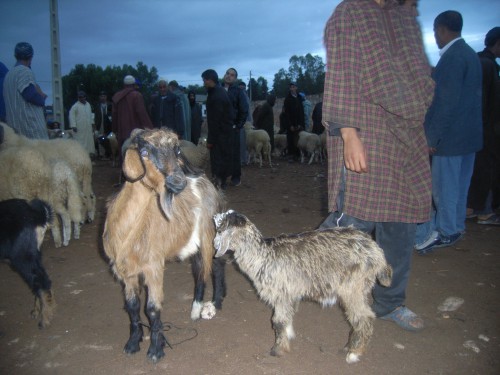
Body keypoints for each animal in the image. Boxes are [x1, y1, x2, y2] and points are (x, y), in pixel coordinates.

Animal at [102, 128, 226, 362]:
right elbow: (132, 307)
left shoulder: (154, 267)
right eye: (144, 152)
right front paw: (133, 343)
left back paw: (208, 306)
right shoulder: (126, 272)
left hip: (209, 235)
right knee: (208, 267)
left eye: (177, 150)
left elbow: (151, 308)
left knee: (212, 267)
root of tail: (205, 181)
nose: (178, 181)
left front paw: (155, 350)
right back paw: (207, 305)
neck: (129, 233)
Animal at [213, 210, 392, 362]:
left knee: (364, 318)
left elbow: (278, 321)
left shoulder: (281, 295)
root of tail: (377, 252)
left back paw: (354, 353)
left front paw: (278, 349)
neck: (263, 256)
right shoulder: (290, 294)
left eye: (220, 229)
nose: (214, 245)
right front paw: (289, 335)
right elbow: (287, 318)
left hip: (353, 288)